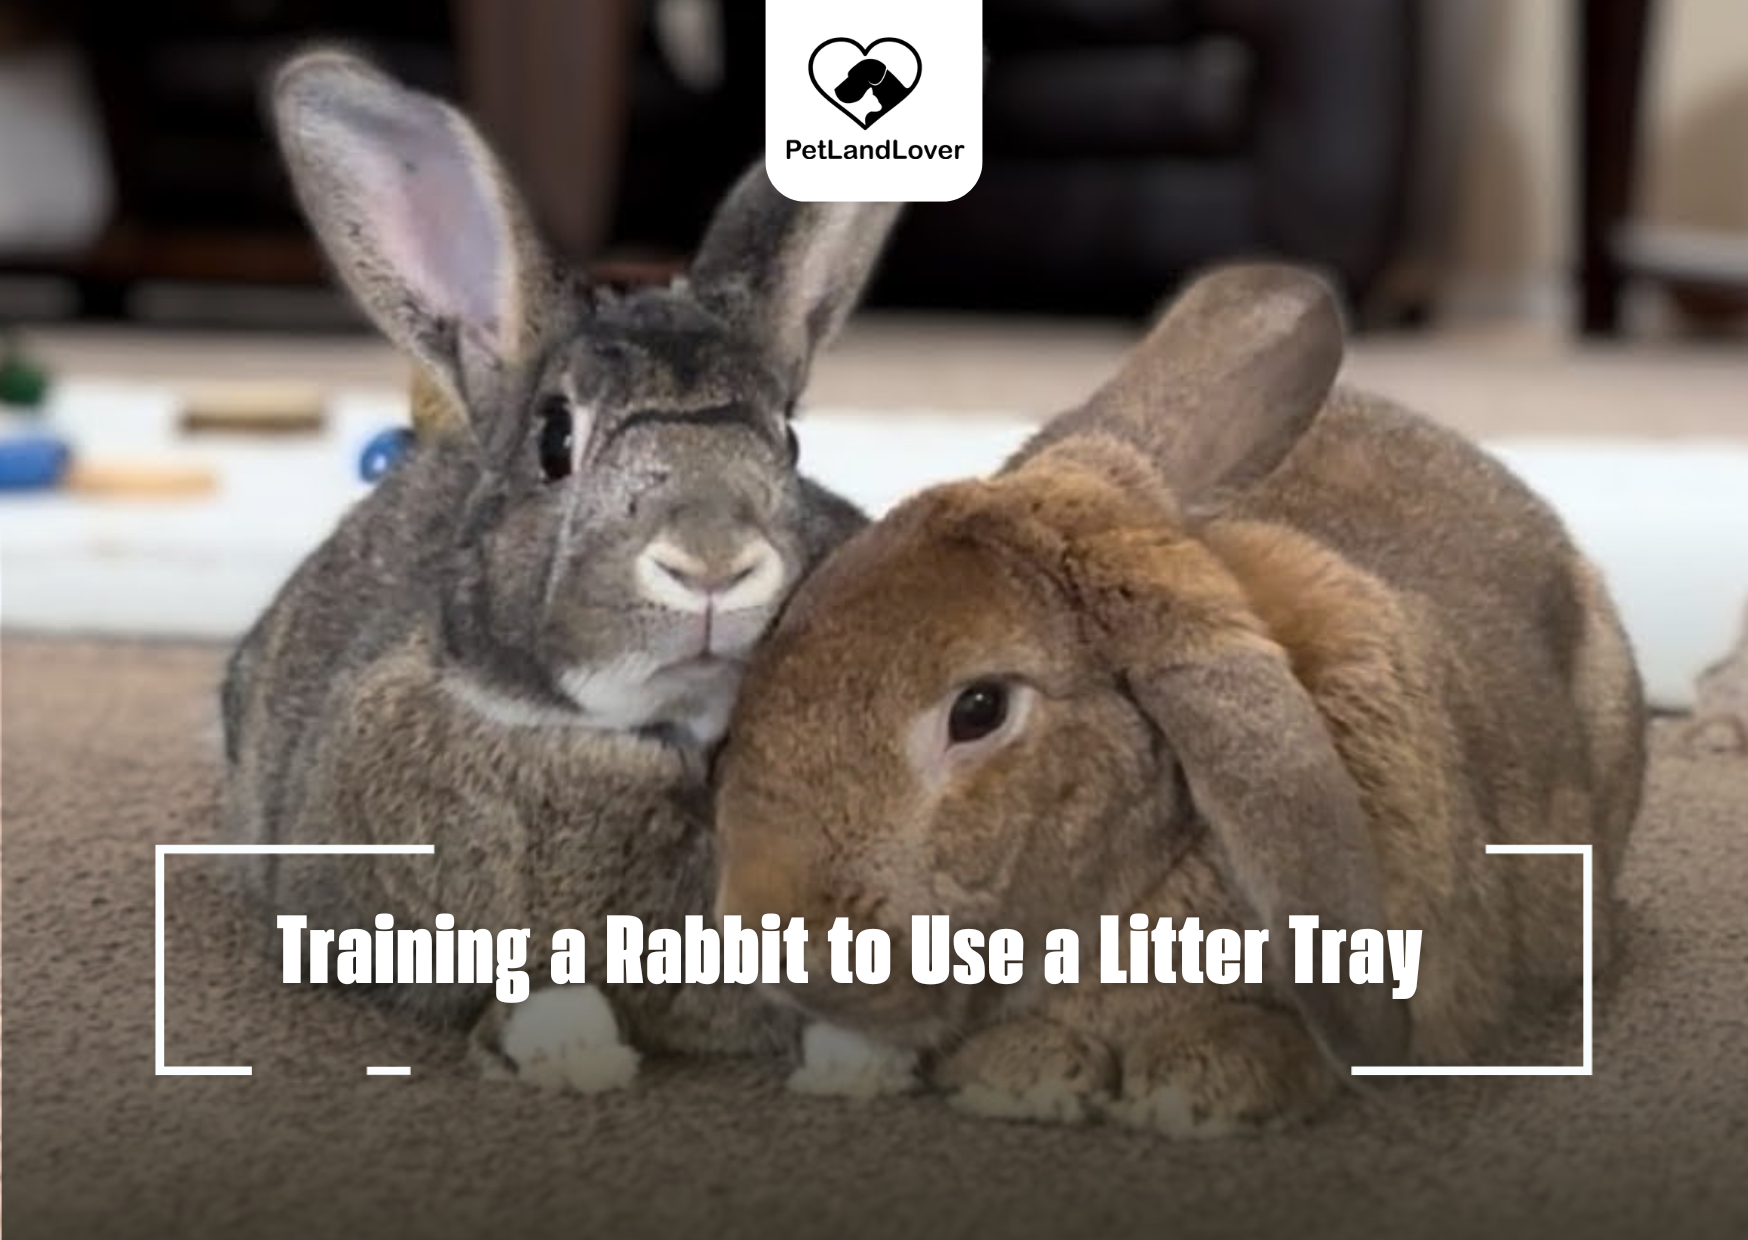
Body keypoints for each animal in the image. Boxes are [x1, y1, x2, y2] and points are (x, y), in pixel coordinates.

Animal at [220, 53, 901, 1091]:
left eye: (788, 442)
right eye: (555, 441)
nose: (712, 562)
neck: (661, 735)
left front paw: (863, 1069)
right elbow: (528, 984)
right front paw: (575, 1056)